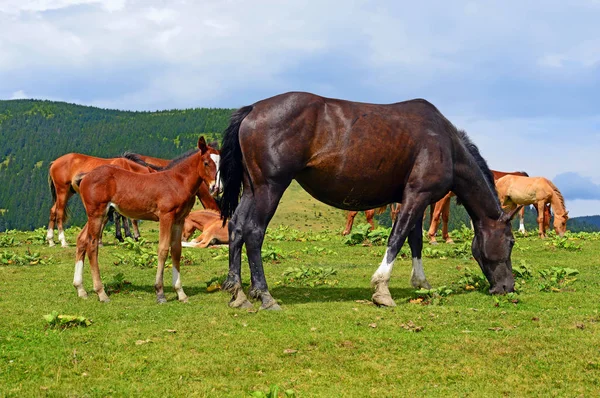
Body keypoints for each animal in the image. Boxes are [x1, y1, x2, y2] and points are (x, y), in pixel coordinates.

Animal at [72, 137, 218, 302]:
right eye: (206, 162)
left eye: (220, 161)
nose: (215, 187)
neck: (177, 181)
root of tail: (85, 176)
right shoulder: (166, 216)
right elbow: (163, 249)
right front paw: (160, 293)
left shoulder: (179, 219)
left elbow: (176, 250)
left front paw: (180, 293)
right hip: (97, 214)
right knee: (92, 245)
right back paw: (101, 293)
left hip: (99, 215)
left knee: (82, 240)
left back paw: (80, 289)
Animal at [220, 91, 520, 310]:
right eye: (511, 241)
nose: (507, 287)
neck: (445, 143)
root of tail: (253, 109)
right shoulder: (417, 195)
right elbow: (397, 238)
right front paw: (381, 289)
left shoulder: (414, 199)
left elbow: (415, 241)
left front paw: (421, 282)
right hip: (270, 187)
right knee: (254, 232)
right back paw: (264, 294)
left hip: (252, 189)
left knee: (236, 227)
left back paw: (237, 291)